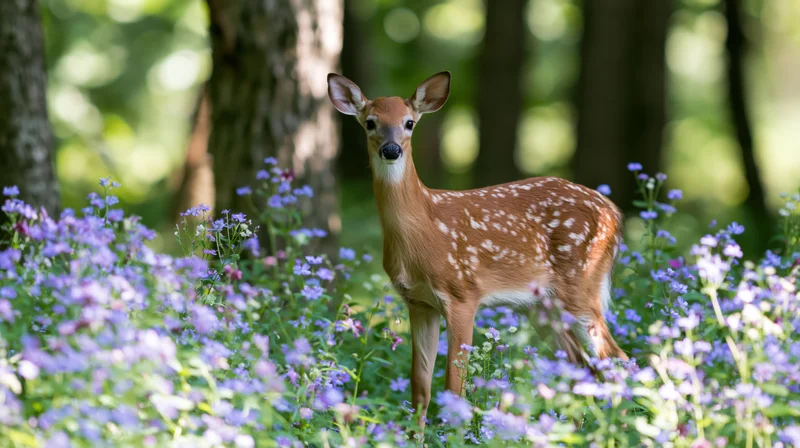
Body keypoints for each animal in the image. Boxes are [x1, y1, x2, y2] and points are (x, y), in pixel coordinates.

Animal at [327, 71, 628, 426]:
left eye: (409, 122)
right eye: (370, 122)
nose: (391, 149)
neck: (424, 230)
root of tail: (614, 212)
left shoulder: (462, 294)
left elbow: (454, 387)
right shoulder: (418, 302)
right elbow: (420, 387)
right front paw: (416, 434)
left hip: (581, 285)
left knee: (618, 359)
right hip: (541, 306)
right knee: (581, 364)